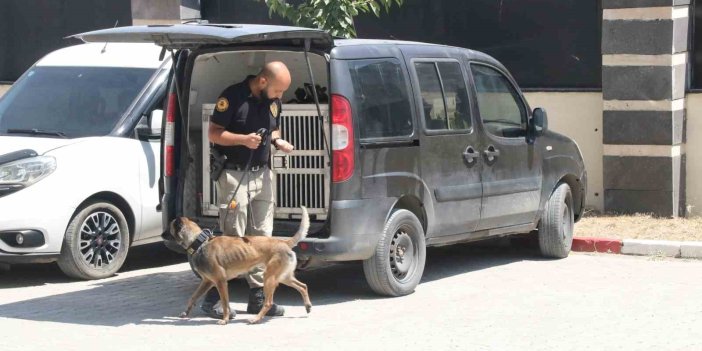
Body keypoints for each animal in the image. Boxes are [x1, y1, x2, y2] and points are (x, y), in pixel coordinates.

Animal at [164, 208, 312, 326]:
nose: (161, 234)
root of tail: (284, 242)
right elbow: (193, 297)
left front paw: (225, 319)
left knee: (268, 302)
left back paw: (256, 319)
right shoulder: (207, 282)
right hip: (283, 277)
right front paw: (186, 312)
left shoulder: (221, 282)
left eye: (169, 227)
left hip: (269, 278)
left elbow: (225, 303)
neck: (200, 243)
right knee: (303, 286)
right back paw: (307, 306)